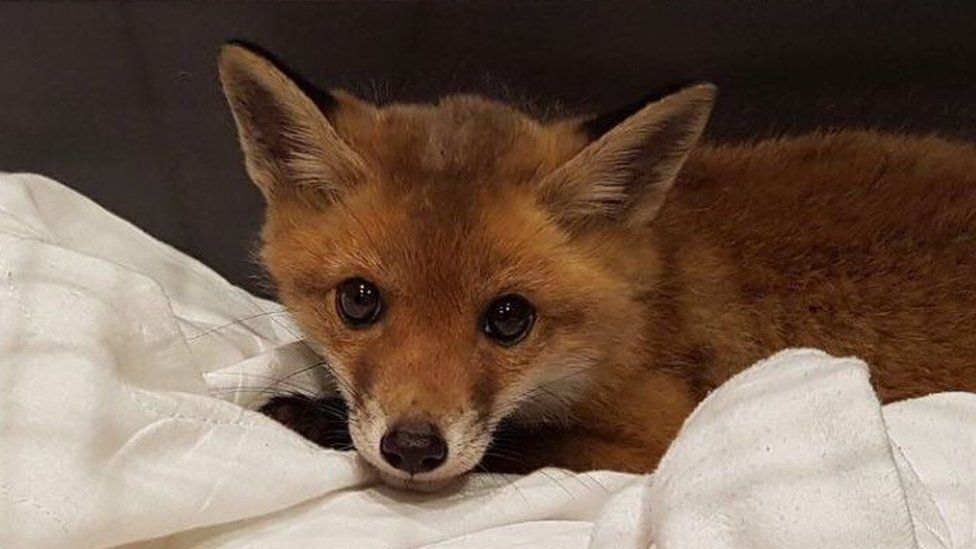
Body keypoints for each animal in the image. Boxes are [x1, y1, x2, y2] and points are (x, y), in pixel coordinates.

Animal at [217, 44, 976, 488]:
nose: (411, 448)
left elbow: (520, 441)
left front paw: (306, 415)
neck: (636, 315)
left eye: (510, 317)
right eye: (359, 300)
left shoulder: (660, 430)